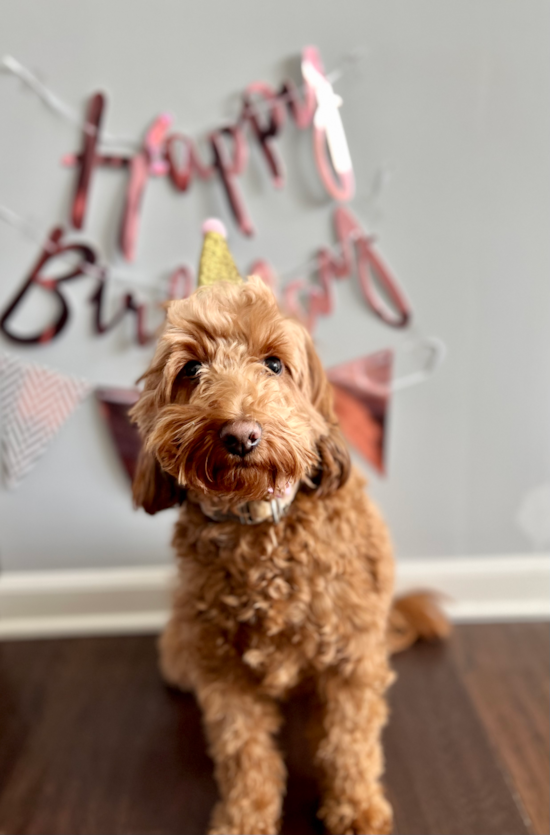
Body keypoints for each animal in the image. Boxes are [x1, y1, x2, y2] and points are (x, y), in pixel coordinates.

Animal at [133, 258, 448, 832]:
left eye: (274, 364)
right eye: (191, 370)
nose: (241, 434)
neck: (259, 526)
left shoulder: (352, 657)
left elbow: (349, 743)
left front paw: (356, 808)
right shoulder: (223, 670)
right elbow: (243, 751)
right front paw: (244, 817)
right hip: (184, 642)